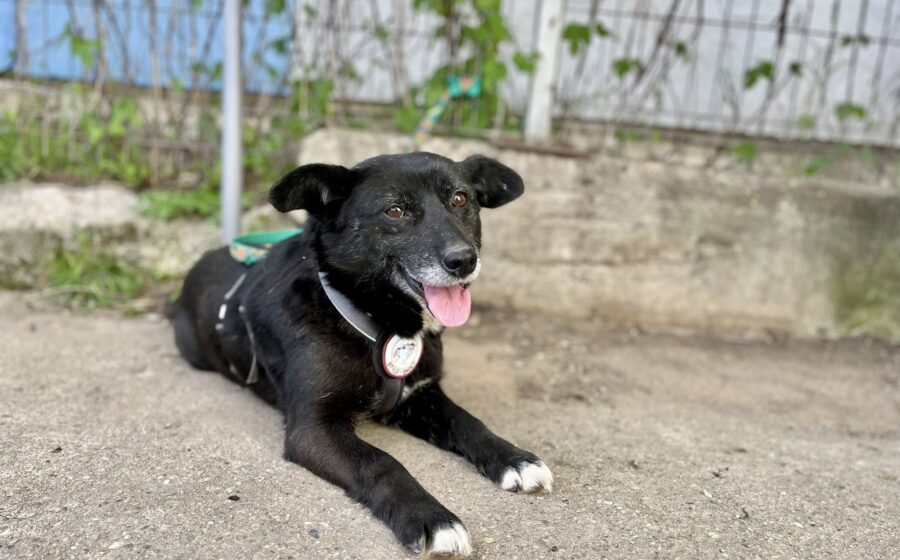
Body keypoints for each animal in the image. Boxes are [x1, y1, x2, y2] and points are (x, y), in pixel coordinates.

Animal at [169, 152, 553, 556]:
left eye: (461, 199)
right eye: (395, 210)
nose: (464, 260)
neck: (381, 325)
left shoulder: (419, 396)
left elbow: (467, 422)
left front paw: (513, 458)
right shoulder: (313, 429)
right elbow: (380, 463)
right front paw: (430, 517)